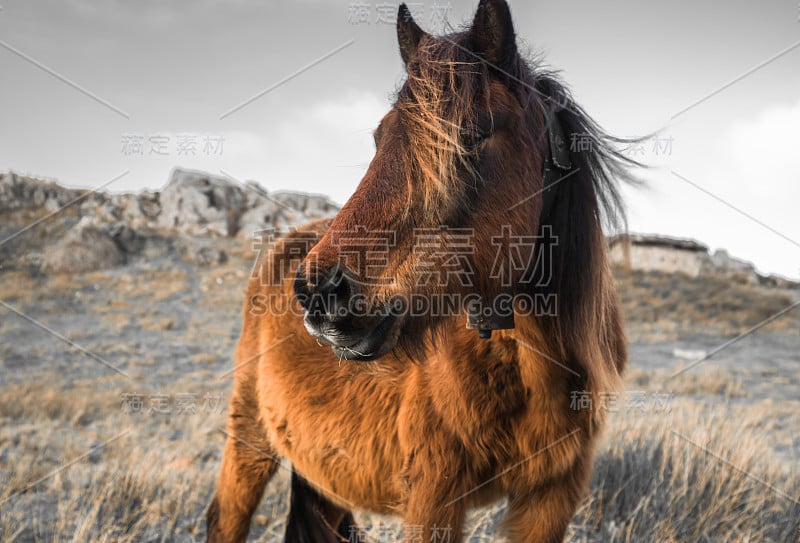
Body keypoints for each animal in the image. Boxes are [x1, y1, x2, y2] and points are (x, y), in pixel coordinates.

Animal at [206, 2, 636, 540]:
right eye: (378, 137)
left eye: (472, 135)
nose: (320, 292)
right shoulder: (433, 498)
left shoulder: (552, 497)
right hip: (249, 440)